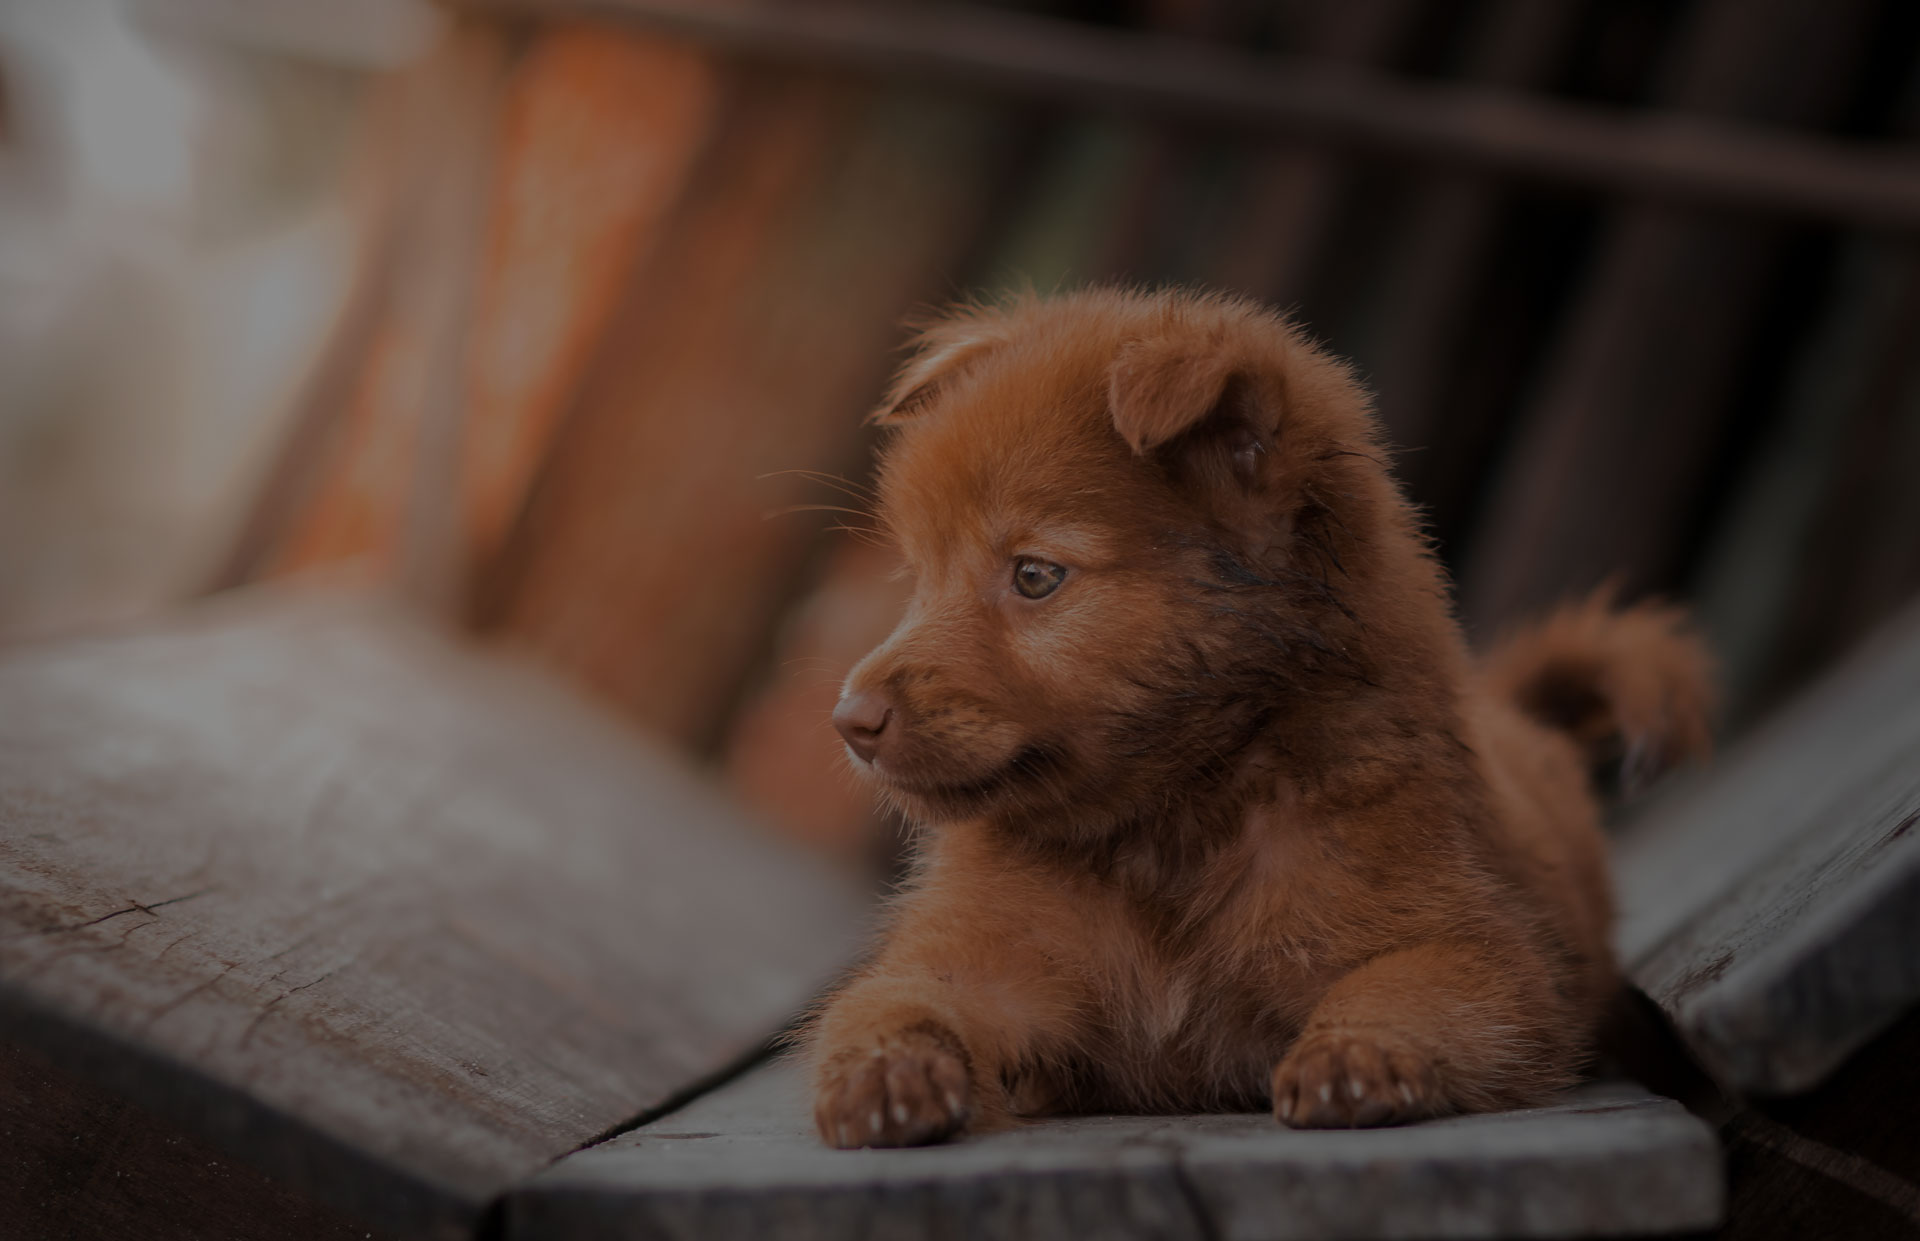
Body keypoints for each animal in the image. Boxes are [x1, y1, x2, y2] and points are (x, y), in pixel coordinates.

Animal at [806, 292, 1712, 1144]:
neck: (1166, 833)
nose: (849, 720)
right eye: (918, 575)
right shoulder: (978, 960)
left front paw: (1353, 1054)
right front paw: (886, 1073)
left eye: (1034, 575)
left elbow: (1394, 985)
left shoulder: (1473, 952)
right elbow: (898, 1002)